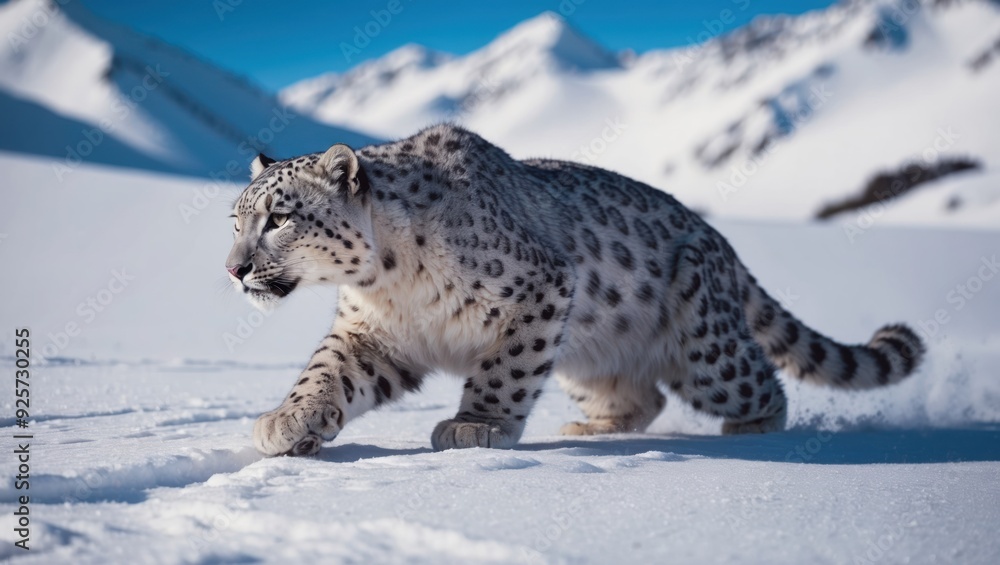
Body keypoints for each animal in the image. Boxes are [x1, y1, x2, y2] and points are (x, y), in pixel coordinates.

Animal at [224, 123, 925, 456]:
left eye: (279, 218)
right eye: (236, 219)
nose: (233, 269)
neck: (386, 282)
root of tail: (718, 239)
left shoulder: (540, 290)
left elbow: (504, 371)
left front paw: (475, 426)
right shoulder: (372, 333)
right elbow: (325, 372)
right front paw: (288, 422)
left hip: (708, 352)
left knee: (762, 382)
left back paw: (752, 430)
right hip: (588, 357)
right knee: (643, 396)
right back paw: (596, 427)